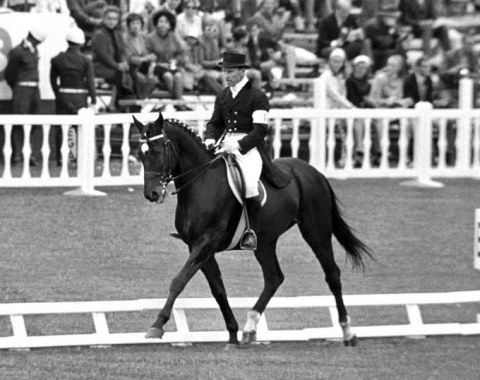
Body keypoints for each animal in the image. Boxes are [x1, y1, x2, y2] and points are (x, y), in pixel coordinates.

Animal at [133, 112, 374, 348]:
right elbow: (218, 289)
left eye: (157, 151)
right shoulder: (198, 247)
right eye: (140, 154)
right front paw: (232, 334)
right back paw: (249, 328)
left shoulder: (206, 243)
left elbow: (179, 281)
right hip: (265, 242)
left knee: (332, 273)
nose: (152, 194)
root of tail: (313, 172)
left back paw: (348, 332)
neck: (201, 182)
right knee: (274, 278)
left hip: (316, 230)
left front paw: (157, 325)